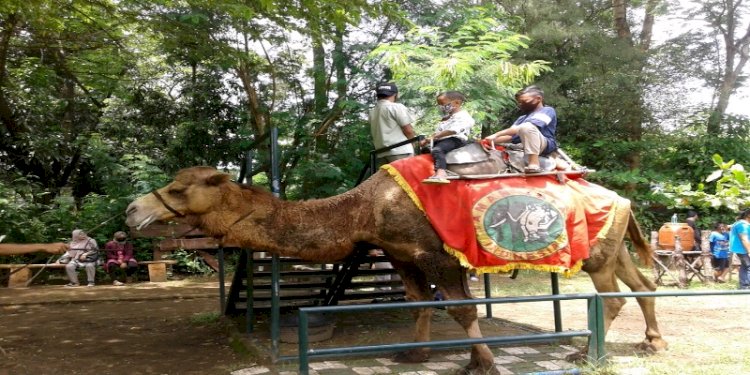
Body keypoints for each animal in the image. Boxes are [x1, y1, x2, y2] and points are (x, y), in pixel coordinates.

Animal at [125, 167, 668, 375]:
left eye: (178, 189)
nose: (132, 211)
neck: (365, 209)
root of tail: (621, 197)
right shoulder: (403, 253)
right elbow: (421, 302)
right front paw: (415, 353)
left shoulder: (436, 253)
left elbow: (462, 309)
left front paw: (483, 363)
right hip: (613, 240)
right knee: (642, 284)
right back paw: (652, 343)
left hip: (595, 249)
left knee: (613, 294)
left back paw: (584, 350)